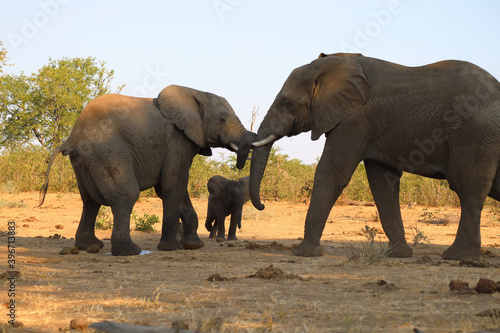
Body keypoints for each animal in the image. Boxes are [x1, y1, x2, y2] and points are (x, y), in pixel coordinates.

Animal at [39, 85, 256, 254]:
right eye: (222, 119)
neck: (196, 93)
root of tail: (73, 136)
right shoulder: (177, 140)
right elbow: (172, 186)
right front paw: (172, 248)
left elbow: (176, 189)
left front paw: (194, 245)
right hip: (108, 152)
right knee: (126, 195)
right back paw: (129, 251)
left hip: (83, 161)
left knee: (90, 201)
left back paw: (90, 246)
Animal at [241, 52, 500, 260]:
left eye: (287, 103)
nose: (262, 205)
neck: (332, 65)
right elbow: (382, 183)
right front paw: (398, 255)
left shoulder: (355, 119)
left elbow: (331, 173)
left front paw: (304, 253)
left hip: (474, 134)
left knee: (467, 188)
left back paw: (457, 257)